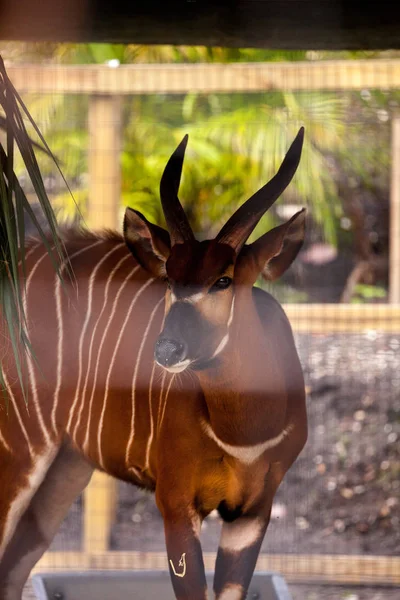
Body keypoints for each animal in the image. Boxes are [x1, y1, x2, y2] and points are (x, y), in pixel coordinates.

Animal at [0, 129, 308, 600]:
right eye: (168, 278)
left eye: (223, 279)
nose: (166, 350)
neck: (243, 434)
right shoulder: (176, 503)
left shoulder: (254, 511)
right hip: (19, 449)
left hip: (65, 467)